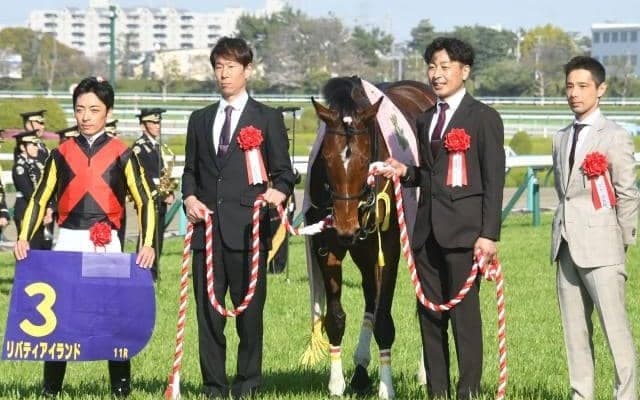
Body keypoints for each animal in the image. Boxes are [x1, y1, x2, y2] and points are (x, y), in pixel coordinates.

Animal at [306, 76, 436, 398]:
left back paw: (424, 372)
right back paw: (361, 369)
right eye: (326, 157)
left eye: (366, 159)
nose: (347, 228)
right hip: (363, 251)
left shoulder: (386, 248)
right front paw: (337, 383)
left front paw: (386, 387)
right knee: (369, 299)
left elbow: (384, 321)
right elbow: (336, 318)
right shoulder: (328, 247)